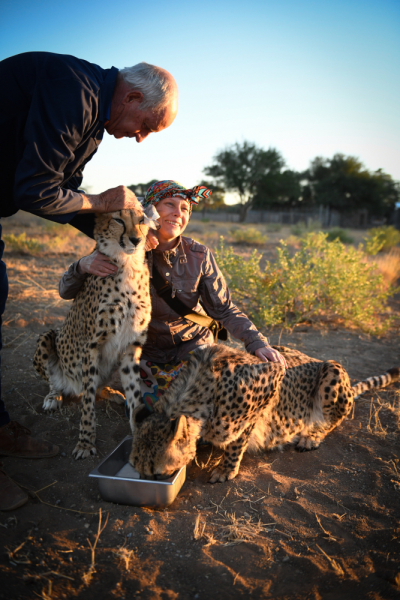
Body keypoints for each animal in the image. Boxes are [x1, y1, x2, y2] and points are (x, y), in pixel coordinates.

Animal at [32, 204, 152, 458]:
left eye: (142, 220)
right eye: (118, 220)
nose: (136, 240)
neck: (128, 264)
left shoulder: (131, 347)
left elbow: (135, 394)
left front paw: (139, 436)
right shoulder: (91, 345)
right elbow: (87, 401)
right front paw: (86, 442)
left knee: (98, 386)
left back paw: (112, 393)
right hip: (48, 338)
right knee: (58, 383)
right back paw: (54, 396)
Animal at [130, 342, 398, 482]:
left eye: (156, 474)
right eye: (135, 467)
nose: (143, 483)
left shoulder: (271, 378)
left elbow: (237, 440)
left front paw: (226, 469)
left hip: (332, 370)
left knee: (333, 420)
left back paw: (311, 435)